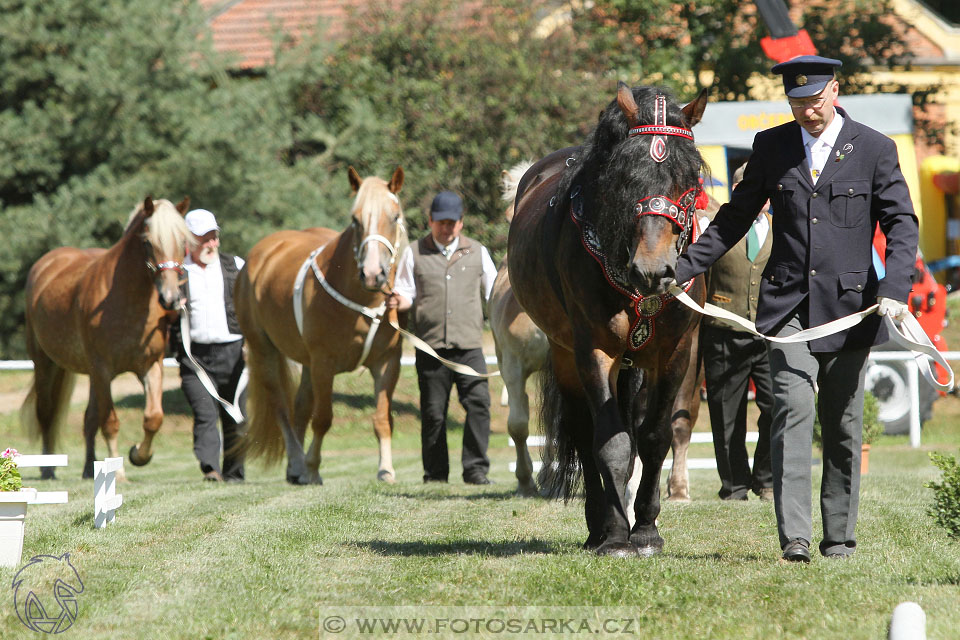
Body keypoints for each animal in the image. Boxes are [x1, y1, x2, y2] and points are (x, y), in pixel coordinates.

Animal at [22, 198, 194, 478]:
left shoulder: (150, 367)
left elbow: (153, 418)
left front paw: (139, 455)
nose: (170, 298)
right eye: (148, 241)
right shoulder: (103, 369)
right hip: (46, 364)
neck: (129, 300)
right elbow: (110, 421)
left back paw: (88, 469)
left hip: (91, 375)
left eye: (182, 241)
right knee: (46, 413)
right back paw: (48, 469)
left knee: (89, 419)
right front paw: (119, 472)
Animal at [240, 168, 408, 482]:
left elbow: (382, 419)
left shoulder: (387, 362)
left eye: (395, 216)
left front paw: (386, 470)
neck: (362, 303)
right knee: (281, 407)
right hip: (264, 351)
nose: (373, 274)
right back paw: (297, 463)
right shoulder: (323, 362)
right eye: (355, 219)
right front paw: (312, 468)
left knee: (300, 407)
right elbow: (323, 419)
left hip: (305, 363)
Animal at [512, 84, 708, 556]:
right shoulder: (594, 350)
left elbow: (653, 438)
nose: (653, 271)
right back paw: (597, 526)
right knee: (585, 434)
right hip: (566, 353)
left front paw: (647, 530)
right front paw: (618, 536)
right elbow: (611, 443)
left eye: (689, 177)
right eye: (625, 178)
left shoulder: (675, 353)